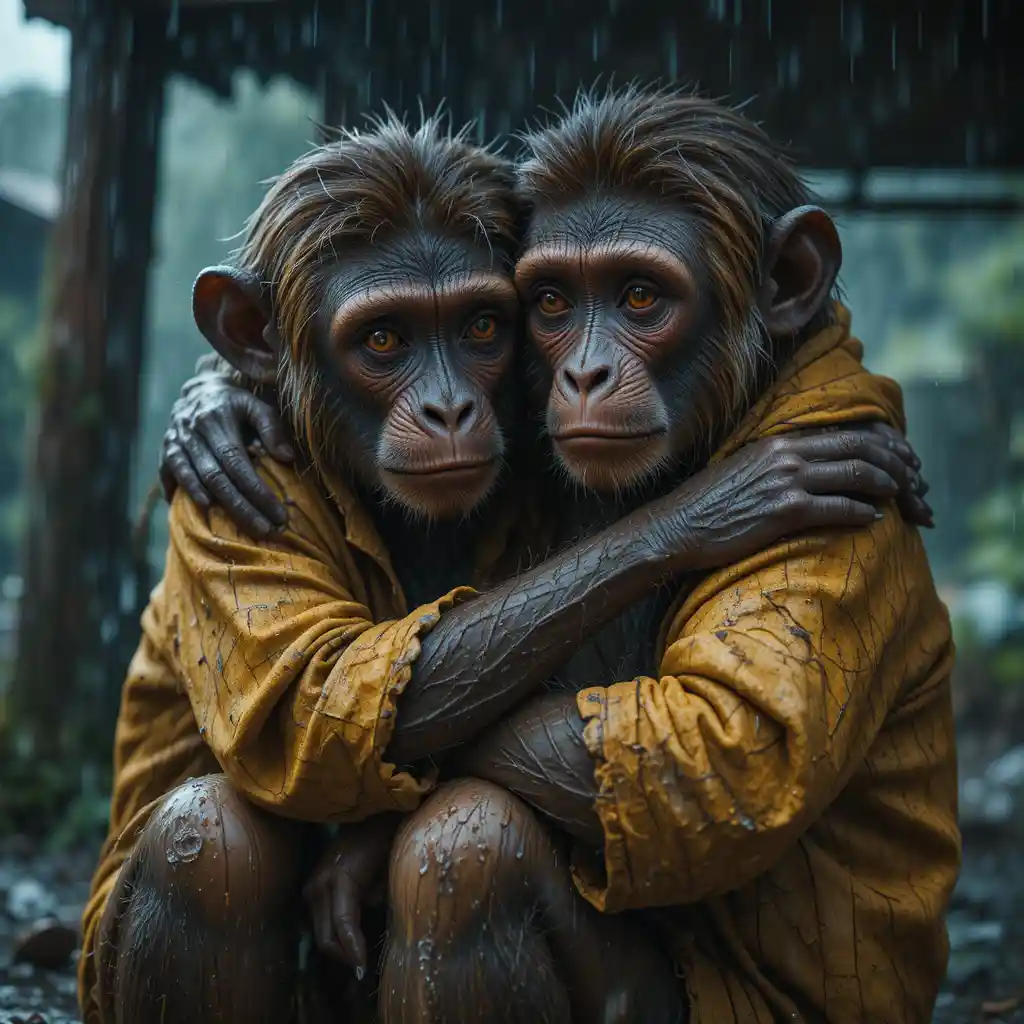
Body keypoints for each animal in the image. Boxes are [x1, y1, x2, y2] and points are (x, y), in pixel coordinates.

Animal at [155, 88, 954, 1024]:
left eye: (639, 295)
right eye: (552, 303)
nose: (582, 375)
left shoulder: (833, 522)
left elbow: (722, 746)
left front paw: (364, 847)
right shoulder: (250, 501)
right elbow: (307, 689)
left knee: (472, 849)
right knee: (211, 842)